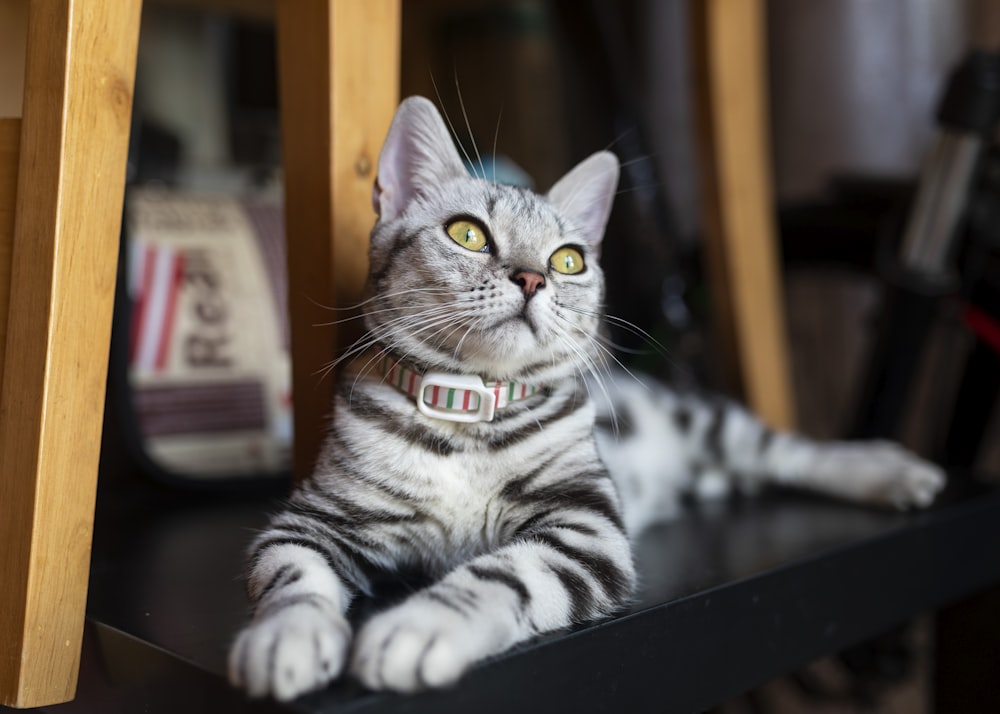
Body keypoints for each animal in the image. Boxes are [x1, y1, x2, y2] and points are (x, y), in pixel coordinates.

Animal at [229, 96, 944, 700]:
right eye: (467, 233)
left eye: (569, 260)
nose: (531, 278)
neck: (470, 413)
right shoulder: (314, 518)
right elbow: (292, 580)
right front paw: (285, 638)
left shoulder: (584, 526)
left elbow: (499, 573)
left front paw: (420, 628)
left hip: (709, 422)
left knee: (790, 452)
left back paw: (890, 470)